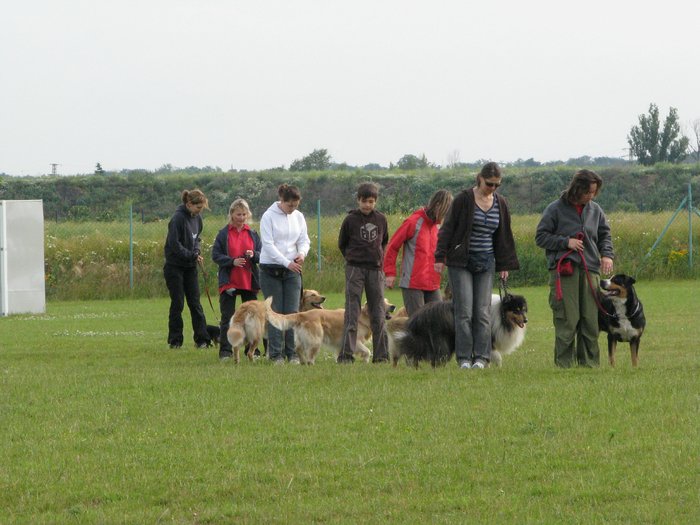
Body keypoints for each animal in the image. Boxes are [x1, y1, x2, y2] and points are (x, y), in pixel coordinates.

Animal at [262, 294, 394, 364]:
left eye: (388, 301)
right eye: (383, 303)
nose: (393, 306)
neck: (363, 316)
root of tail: (302, 314)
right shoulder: (355, 340)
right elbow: (367, 351)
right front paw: (365, 361)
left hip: (303, 337)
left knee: (298, 348)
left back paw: (302, 362)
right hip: (316, 338)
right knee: (309, 354)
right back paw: (310, 364)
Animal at [392, 290, 528, 368]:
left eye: (523, 309)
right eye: (516, 309)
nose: (526, 320)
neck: (501, 314)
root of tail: (419, 316)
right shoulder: (488, 339)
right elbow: (495, 356)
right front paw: (493, 367)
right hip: (440, 340)